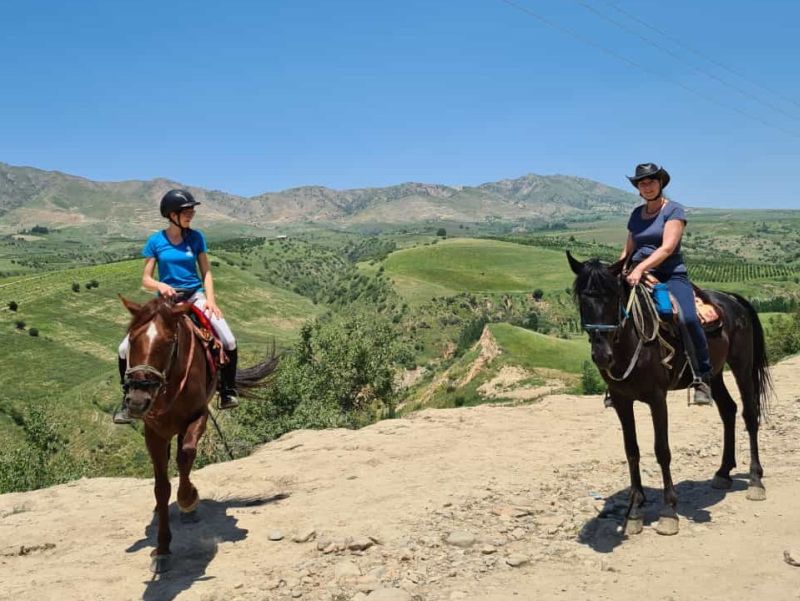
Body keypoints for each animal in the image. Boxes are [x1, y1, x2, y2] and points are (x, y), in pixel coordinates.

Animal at [119, 296, 278, 572]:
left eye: (169, 342)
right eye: (131, 340)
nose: (137, 400)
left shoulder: (198, 417)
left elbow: (186, 456)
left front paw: (188, 499)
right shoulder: (154, 432)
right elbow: (161, 487)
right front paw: (162, 549)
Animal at [564, 251, 772, 536]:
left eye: (613, 297)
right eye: (583, 300)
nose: (602, 355)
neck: (630, 340)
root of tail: (732, 299)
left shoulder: (656, 398)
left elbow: (662, 449)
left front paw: (668, 511)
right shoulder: (621, 400)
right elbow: (631, 450)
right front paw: (634, 511)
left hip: (741, 365)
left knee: (749, 414)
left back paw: (755, 481)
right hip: (714, 372)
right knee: (728, 410)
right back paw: (722, 472)